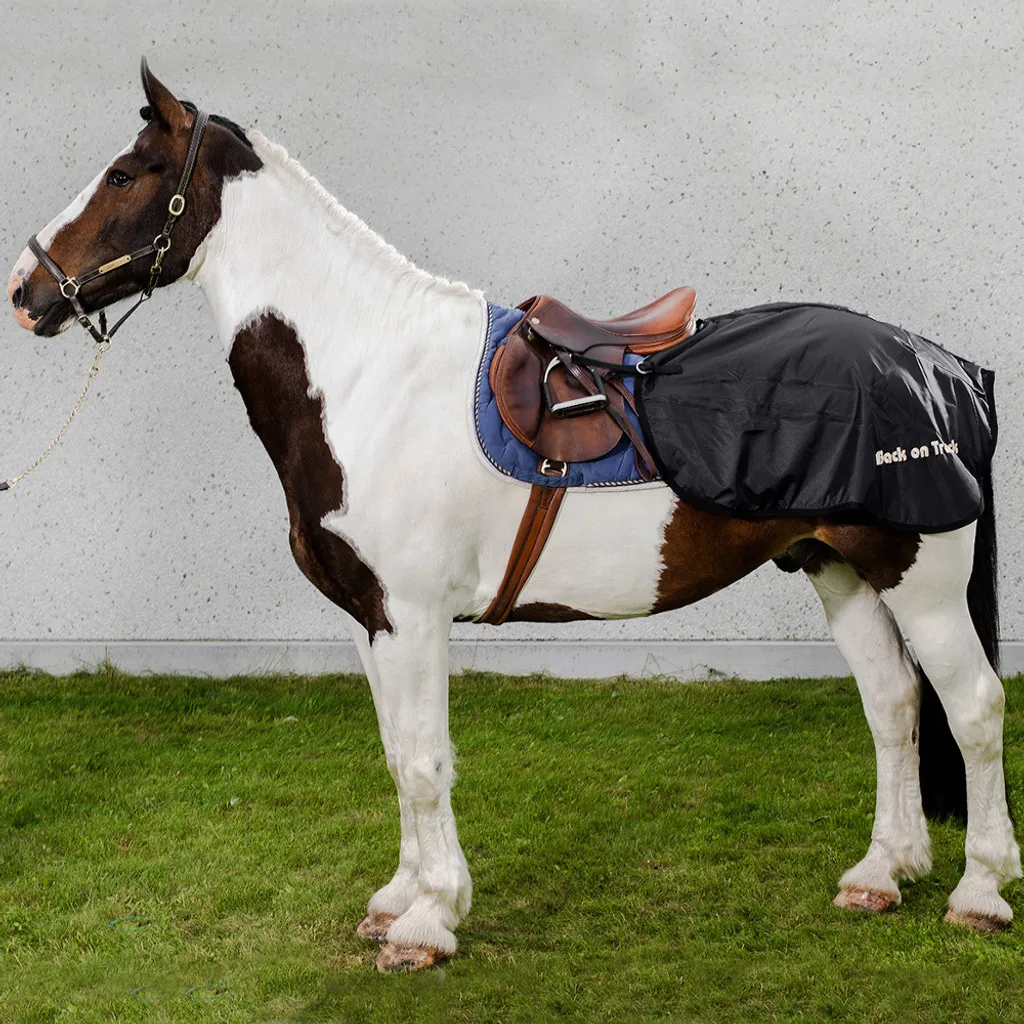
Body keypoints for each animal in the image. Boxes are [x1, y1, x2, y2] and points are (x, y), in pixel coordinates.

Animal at [7, 60, 1020, 972]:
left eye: (126, 173)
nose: (24, 288)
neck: (367, 374)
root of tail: (944, 367)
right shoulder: (372, 620)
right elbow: (396, 756)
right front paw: (399, 898)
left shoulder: (414, 617)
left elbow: (425, 760)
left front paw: (429, 921)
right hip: (838, 567)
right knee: (892, 703)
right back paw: (882, 874)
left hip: (923, 581)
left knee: (970, 706)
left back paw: (977, 892)